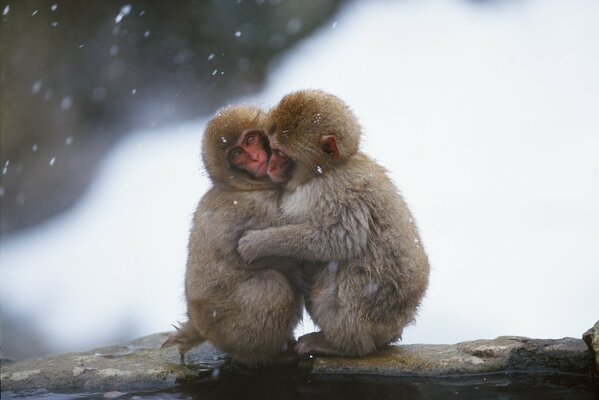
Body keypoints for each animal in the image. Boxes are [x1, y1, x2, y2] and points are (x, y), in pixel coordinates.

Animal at [164, 105, 302, 366]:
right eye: (237, 154)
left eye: (250, 140)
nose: (256, 158)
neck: (244, 186)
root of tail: (197, 324)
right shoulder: (253, 207)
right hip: (227, 326)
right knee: (271, 287)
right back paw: (269, 355)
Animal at [239, 91, 432, 360]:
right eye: (271, 149)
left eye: (282, 154)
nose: (271, 166)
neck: (326, 171)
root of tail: (397, 326)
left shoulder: (338, 193)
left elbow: (338, 239)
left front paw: (258, 243)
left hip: (374, 310)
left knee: (347, 274)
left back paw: (344, 345)